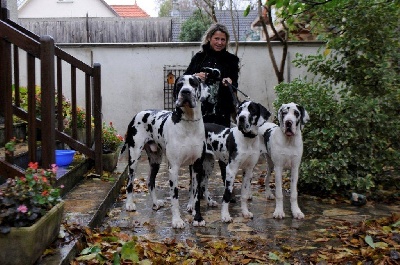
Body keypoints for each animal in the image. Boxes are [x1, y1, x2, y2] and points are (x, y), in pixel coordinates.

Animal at [121, 75, 209, 228]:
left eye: (194, 84)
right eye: (180, 85)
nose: (185, 92)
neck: (189, 123)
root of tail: (138, 113)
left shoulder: (197, 166)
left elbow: (196, 194)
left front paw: (197, 217)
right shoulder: (173, 168)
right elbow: (175, 198)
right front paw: (177, 220)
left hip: (156, 160)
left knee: (150, 181)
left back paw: (155, 202)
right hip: (134, 158)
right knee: (130, 182)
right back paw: (129, 204)